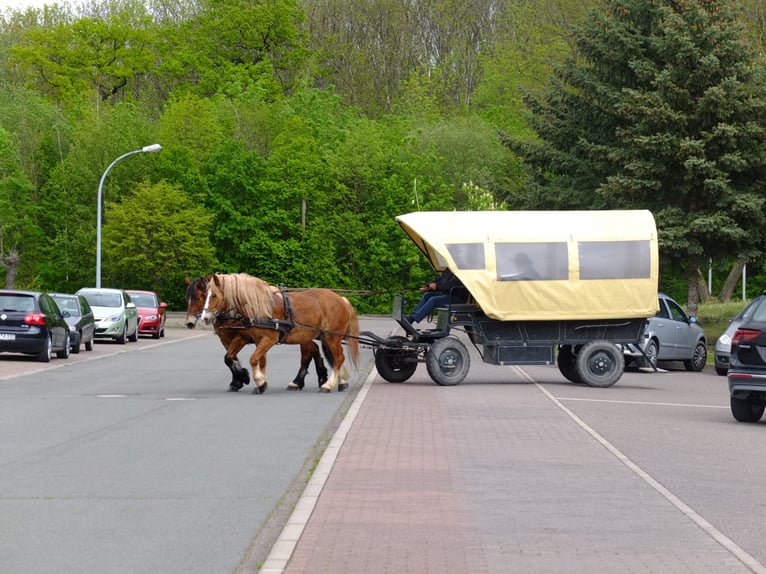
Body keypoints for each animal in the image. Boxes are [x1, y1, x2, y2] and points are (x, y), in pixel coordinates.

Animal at [201, 274, 364, 396]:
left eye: (214, 295)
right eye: (204, 294)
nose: (204, 317)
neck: (260, 307)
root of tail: (341, 299)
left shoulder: (267, 339)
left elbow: (253, 359)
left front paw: (258, 381)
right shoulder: (258, 340)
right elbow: (259, 361)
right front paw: (260, 383)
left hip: (332, 337)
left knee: (338, 358)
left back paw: (328, 385)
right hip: (325, 337)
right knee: (329, 356)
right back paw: (339, 382)